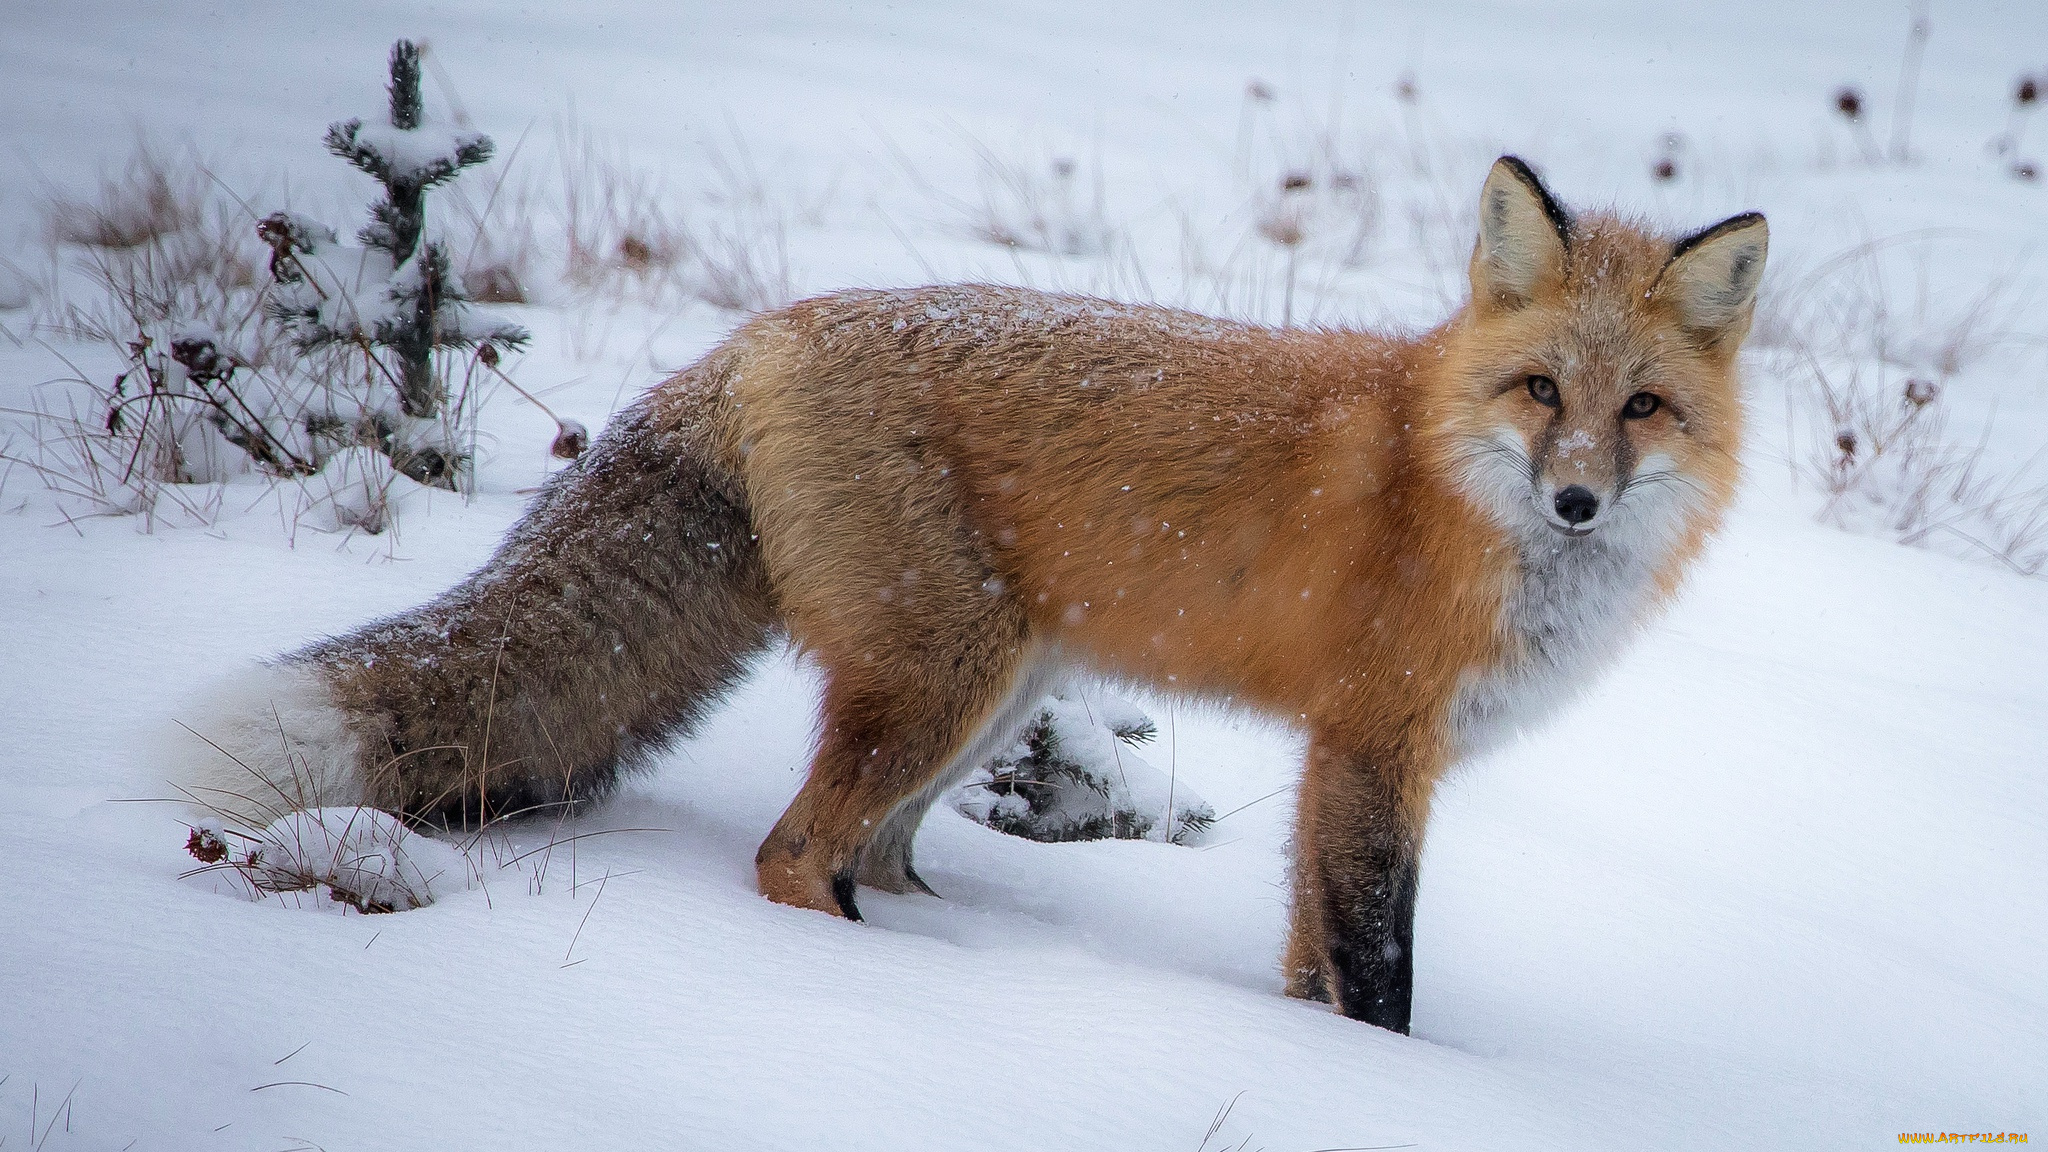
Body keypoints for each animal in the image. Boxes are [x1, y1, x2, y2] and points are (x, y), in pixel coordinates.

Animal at [180, 156, 1761, 1024]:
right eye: (1541, 391)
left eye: (1641, 411)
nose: (1574, 500)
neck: (1448, 487)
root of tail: (753, 337)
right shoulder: (1374, 749)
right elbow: (1379, 982)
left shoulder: (1339, 761)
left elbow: (1310, 965)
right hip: (943, 682)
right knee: (793, 856)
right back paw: (892, 994)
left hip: (994, 700)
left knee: (874, 854)